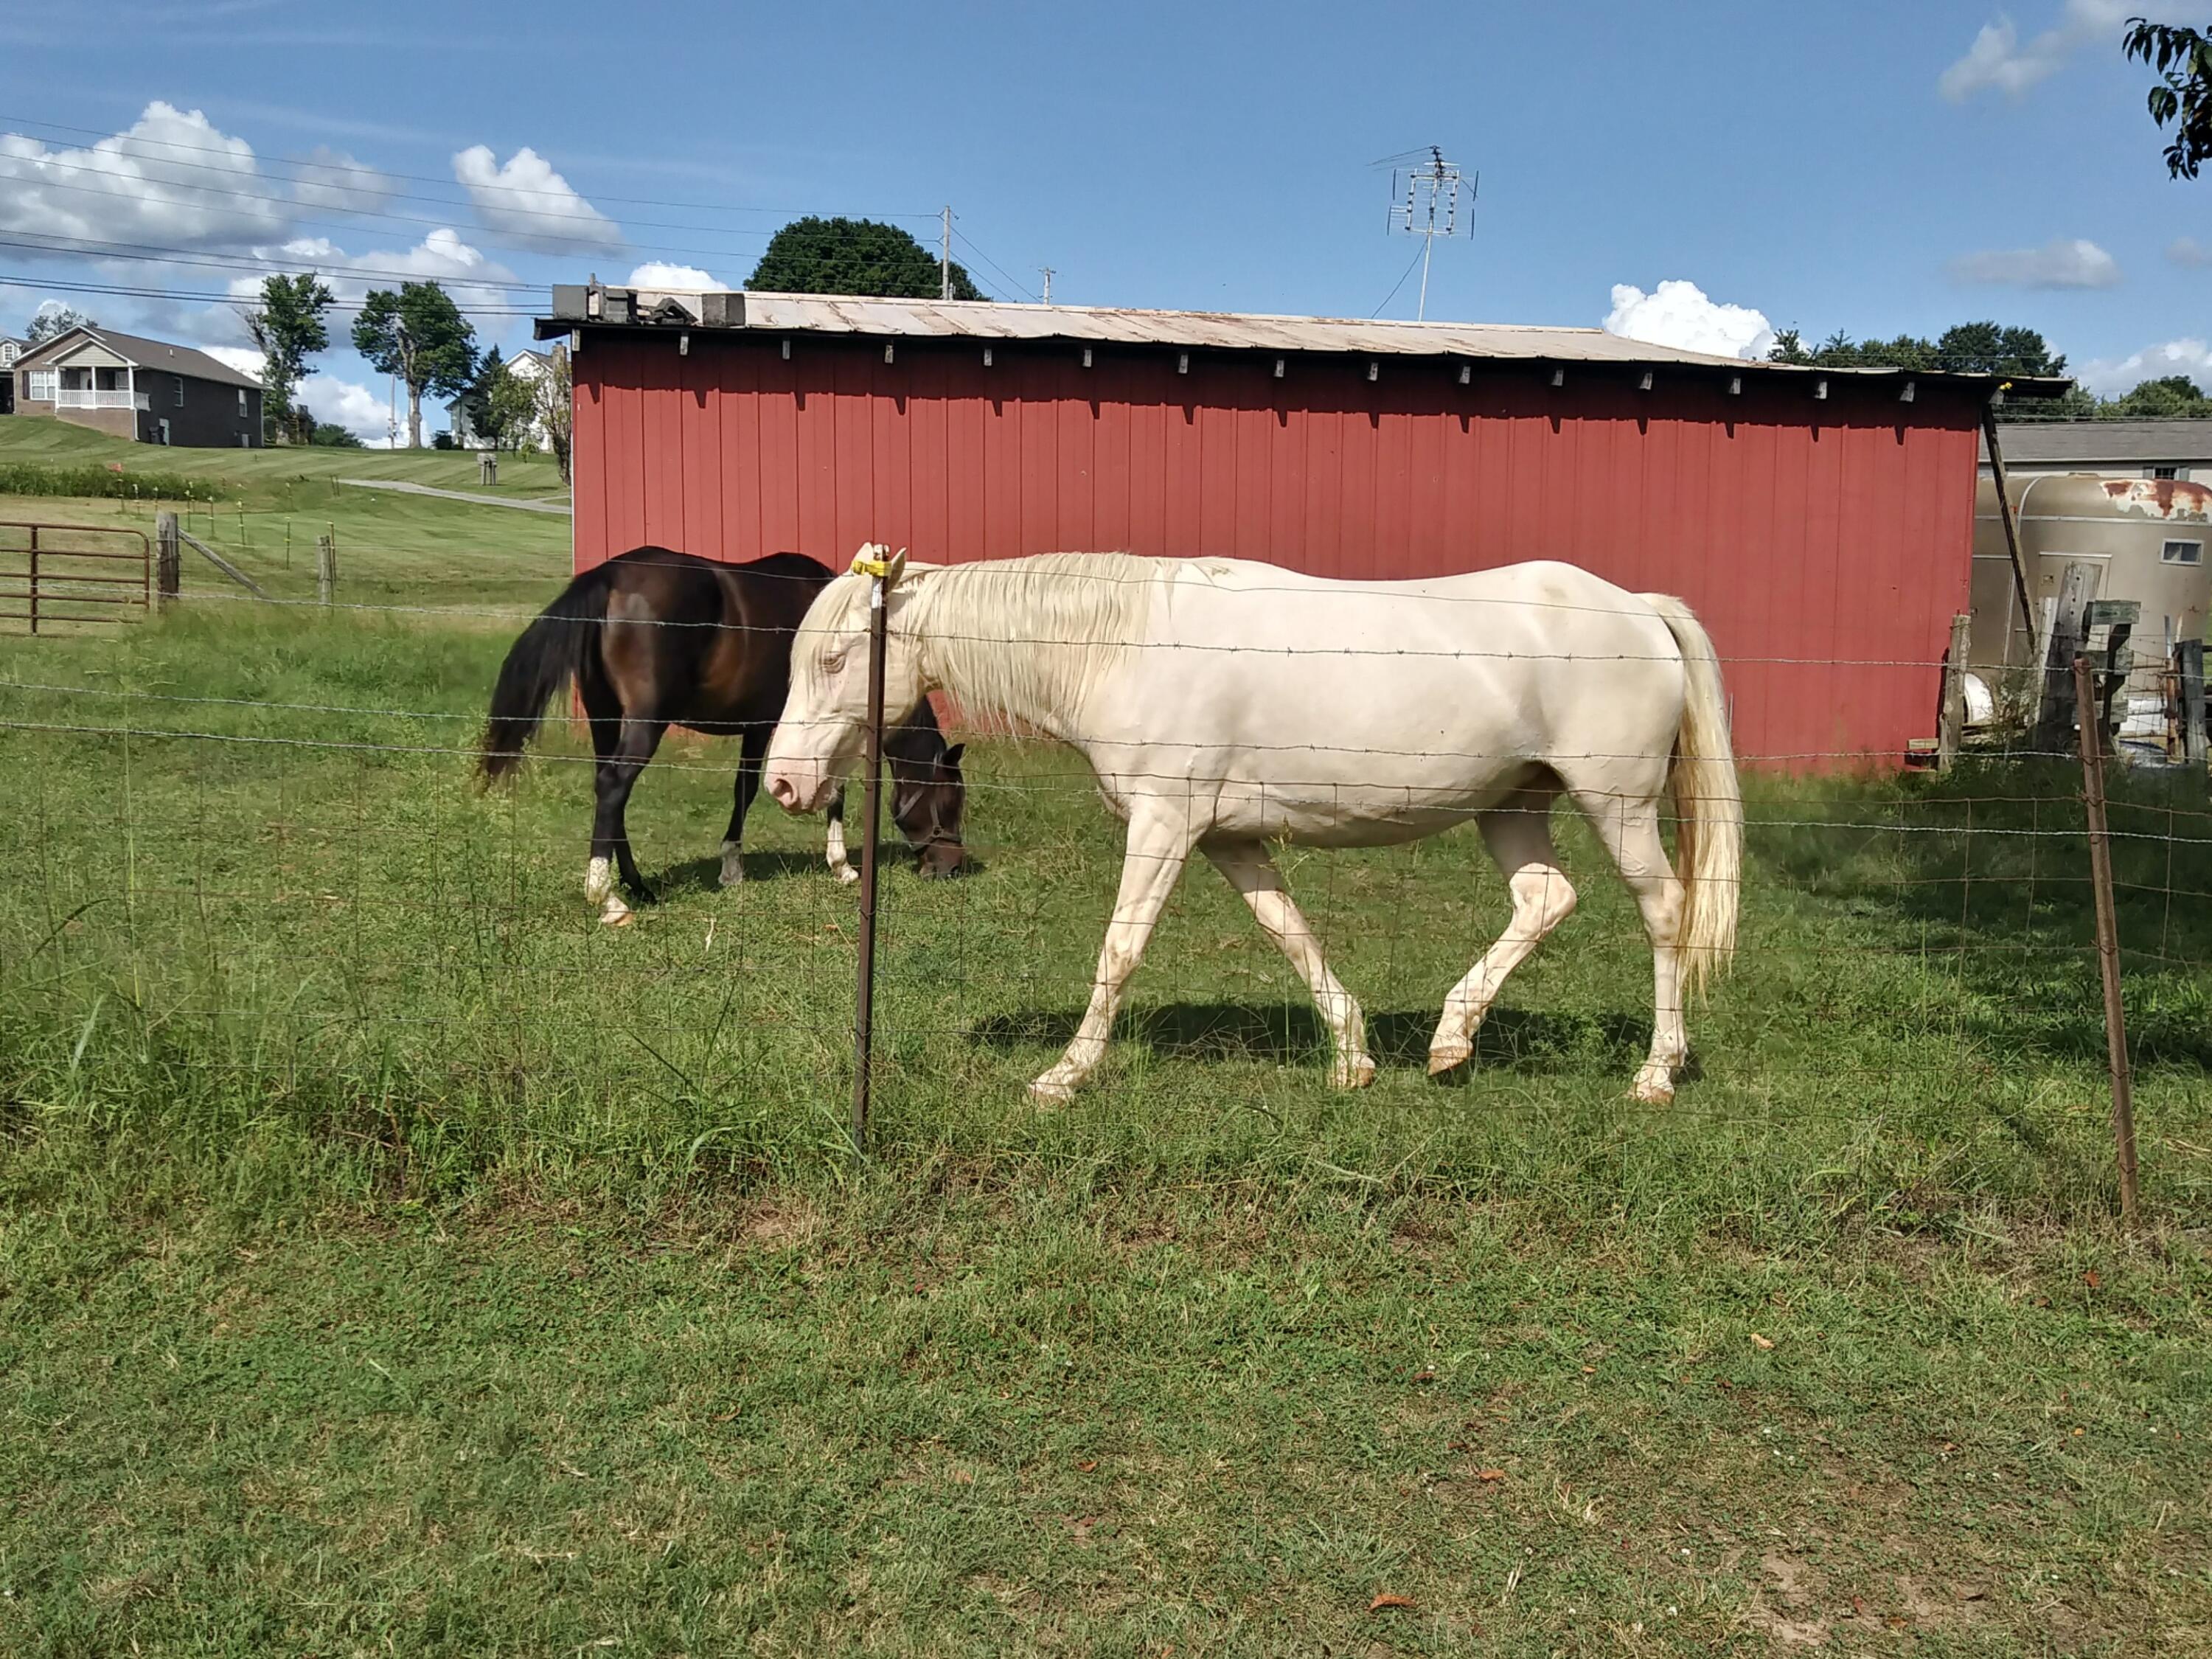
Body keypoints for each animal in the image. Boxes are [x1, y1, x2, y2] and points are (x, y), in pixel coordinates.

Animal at [479, 546, 968, 925]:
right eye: (951, 799)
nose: (951, 866)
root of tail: (610, 575)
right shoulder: (796, 731)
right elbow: (807, 792)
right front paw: (838, 866)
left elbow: (748, 789)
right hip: (644, 723)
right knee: (615, 786)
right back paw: (609, 897)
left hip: (605, 718)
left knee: (607, 792)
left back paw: (636, 885)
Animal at [764, 547, 1741, 1104]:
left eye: (837, 658)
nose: (784, 781)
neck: (1126, 643)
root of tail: (1642, 607)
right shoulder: (1227, 838)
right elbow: (1290, 934)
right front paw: (1351, 1059)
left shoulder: (1165, 825)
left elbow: (1120, 950)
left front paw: (1064, 1077)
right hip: (1510, 806)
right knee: (1545, 899)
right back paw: (1450, 1042)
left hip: (1615, 806)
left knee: (1663, 912)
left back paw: (1655, 1073)